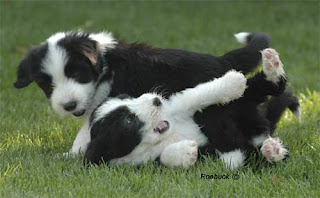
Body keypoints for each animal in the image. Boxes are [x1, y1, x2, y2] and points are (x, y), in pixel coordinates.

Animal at [84, 48, 300, 169]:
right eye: (129, 120)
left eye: (130, 98)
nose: (156, 100)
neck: (170, 133)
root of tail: (261, 130)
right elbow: (165, 158)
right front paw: (186, 152)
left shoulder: (179, 105)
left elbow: (196, 95)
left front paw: (232, 82)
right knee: (261, 154)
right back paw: (273, 151)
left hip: (241, 106)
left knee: (261, 88)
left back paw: (271, 67)